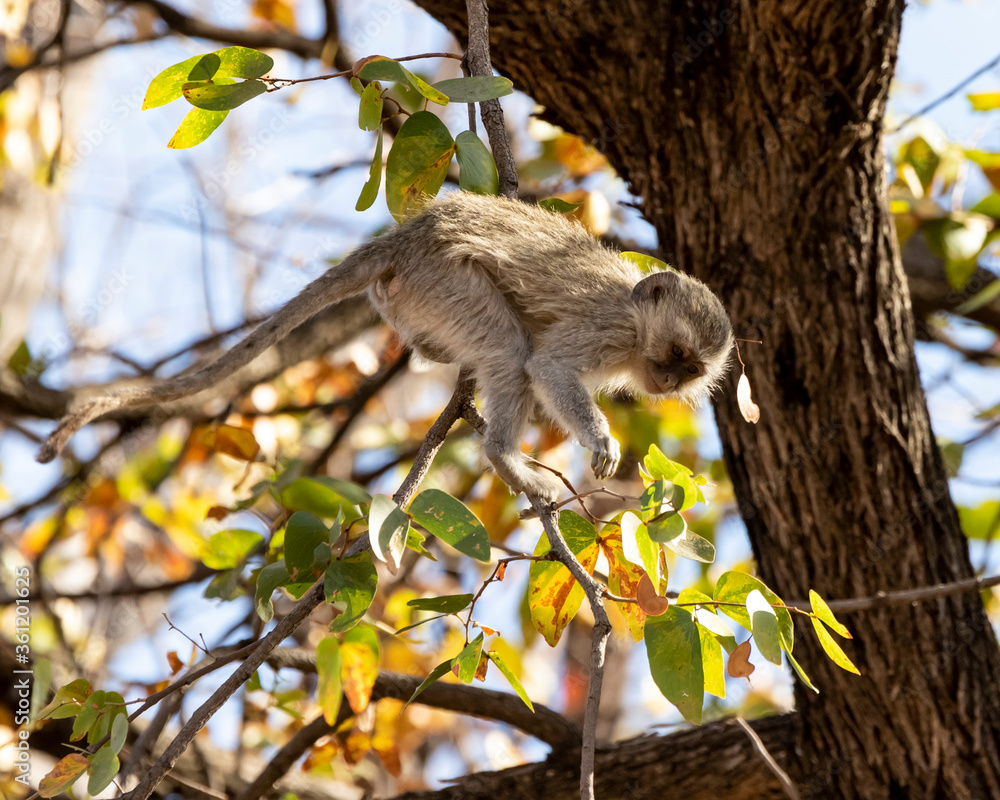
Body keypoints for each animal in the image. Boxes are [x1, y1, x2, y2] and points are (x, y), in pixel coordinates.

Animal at [37, 192, 734, 504]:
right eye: (674, 353)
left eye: (691, 367)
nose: (669, 382)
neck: (636, 320)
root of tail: (406, 239)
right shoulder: (608, 327)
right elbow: (548, 364)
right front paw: (602, 442)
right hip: (445, 279)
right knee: (511, 351)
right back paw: (504, 457)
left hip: (411, 297)